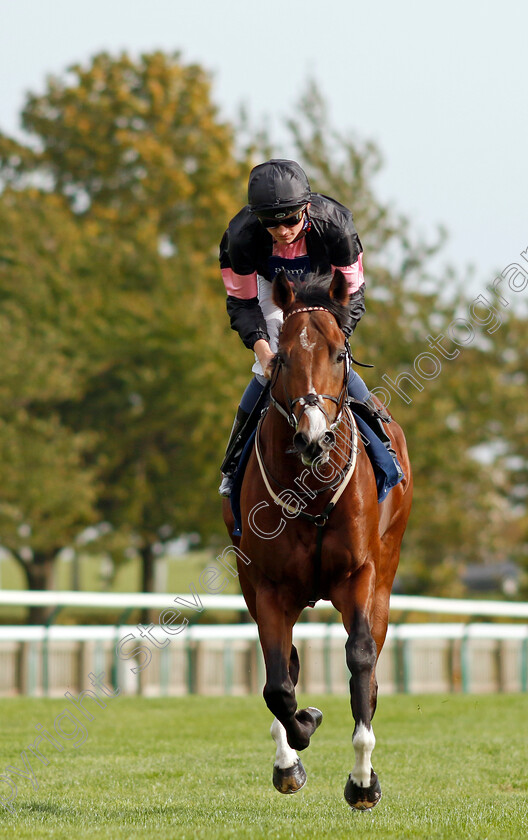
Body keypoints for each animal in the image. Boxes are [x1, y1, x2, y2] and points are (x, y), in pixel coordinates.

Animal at [223, 270, 412, 808]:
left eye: (338, 355)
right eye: (283, 357)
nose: (313, 438)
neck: (314, 487)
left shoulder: (360, 574)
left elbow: (361, 657)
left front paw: (363, 780)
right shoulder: (267, 587)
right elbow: (277, 683)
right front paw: (302, 730)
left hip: (386, 572)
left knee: (368, 662)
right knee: (284, 668)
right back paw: (288, 755)